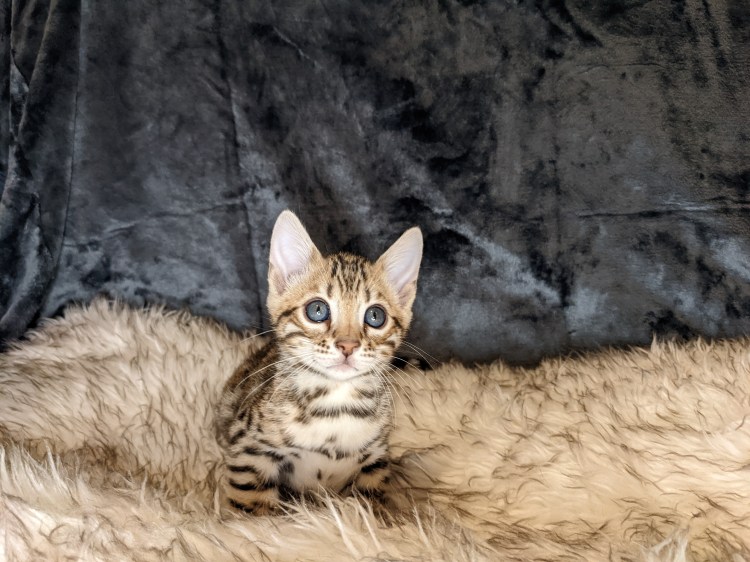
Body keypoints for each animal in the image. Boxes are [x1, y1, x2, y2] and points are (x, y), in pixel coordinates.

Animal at [215, 210, 423, 513]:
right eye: (317, 310)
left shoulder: (376, 458)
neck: (334, 405)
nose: (348, 345)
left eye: (375, 316)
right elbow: (250, 507)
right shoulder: (248, 449)